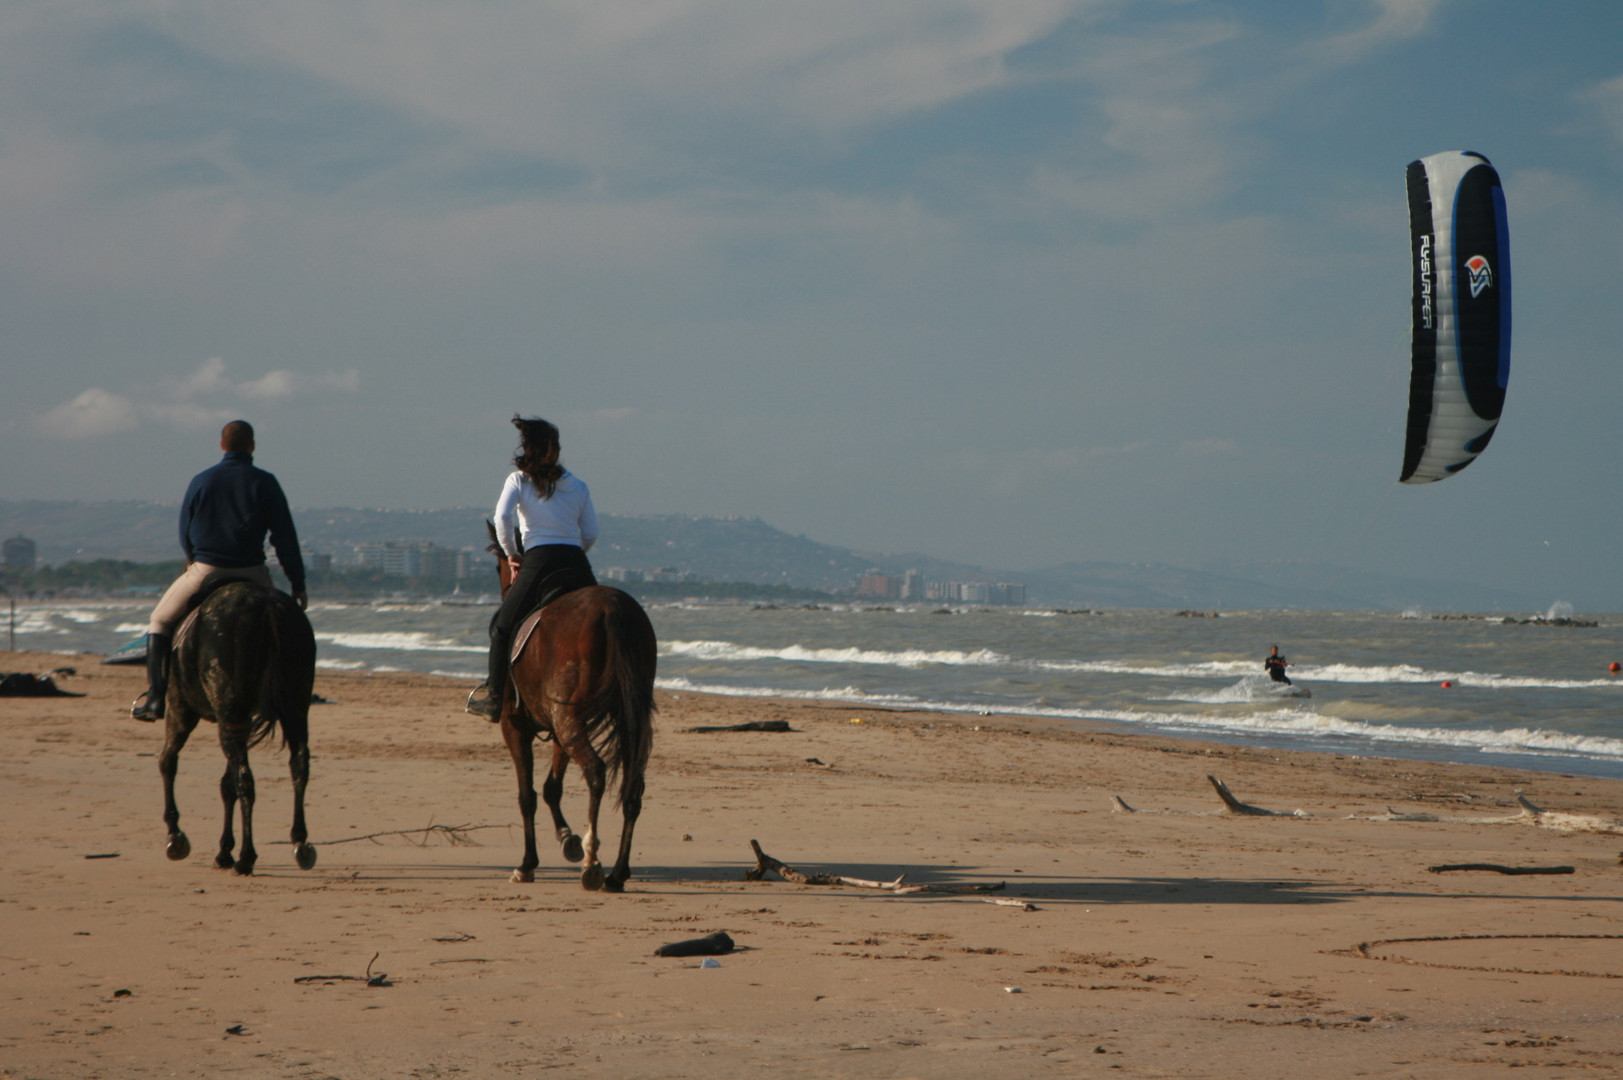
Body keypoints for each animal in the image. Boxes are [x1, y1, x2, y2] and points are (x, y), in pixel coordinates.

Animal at [159, 581, 318, 876]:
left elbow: (168, 762)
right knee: (298, 765)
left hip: (227, 717)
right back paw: (300, 843)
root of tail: (266, 605)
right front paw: (224, 851)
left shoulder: (180, 709)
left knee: (245, 780)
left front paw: (176, 836)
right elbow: (226, 785)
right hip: (294, 711)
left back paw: (246, 857)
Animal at [483, 522, 655, 889]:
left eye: (496, 566)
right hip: (609, 719)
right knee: (633, 784)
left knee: (595, 771)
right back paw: (617, 873)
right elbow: (551, 788)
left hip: (567, 720)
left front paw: (528, 864)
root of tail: (611, 609)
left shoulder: (514, 726)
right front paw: (567, 839)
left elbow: (528, 795)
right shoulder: (558, 727)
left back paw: (593, 861)